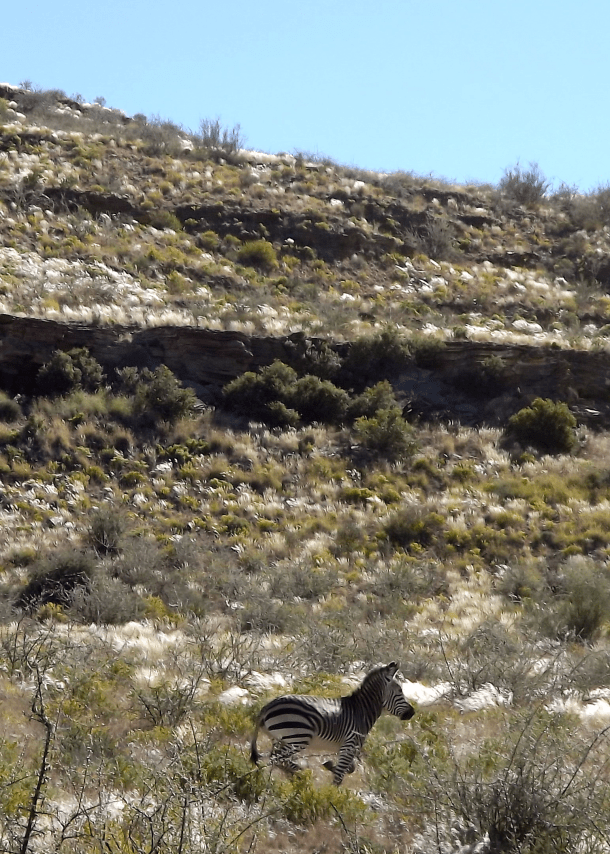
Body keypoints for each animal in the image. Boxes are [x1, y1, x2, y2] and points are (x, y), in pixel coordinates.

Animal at [250, 661, 414, 785]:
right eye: (400, 690)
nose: (412, 713)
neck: (361, 710)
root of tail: (267, 706)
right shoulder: (349, 746)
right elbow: (339, 777)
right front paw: (332, 796)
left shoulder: (344, 748)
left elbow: (351, 768)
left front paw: (329, 765)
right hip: (297, 738)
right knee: (277, 759)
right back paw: (298, 772)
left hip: (279, 739)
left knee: (276, 759)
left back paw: (293, 773)